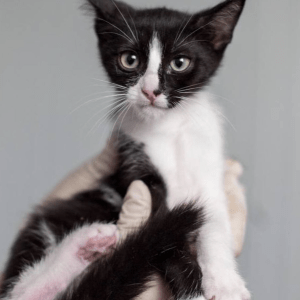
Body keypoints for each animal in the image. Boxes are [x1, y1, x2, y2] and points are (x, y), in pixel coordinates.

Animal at [0, 0, 250, 300]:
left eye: (179, 63)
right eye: (129, 60)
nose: (150, 91)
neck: (167, 128)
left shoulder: (209, 167)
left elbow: (214, 222)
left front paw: (225, 282)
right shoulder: (133, 166)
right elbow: (163, 233)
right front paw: (192, 290)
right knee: (18, 291)